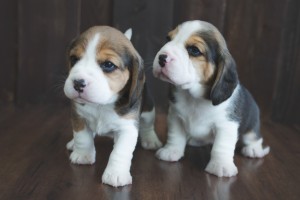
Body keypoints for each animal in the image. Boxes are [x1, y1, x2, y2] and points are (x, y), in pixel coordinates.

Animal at [63, 25, 162, 187]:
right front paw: (83, 155)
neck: (102, 104)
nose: (77, 83)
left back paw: (150, 140)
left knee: (148, 125)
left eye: (108, 65)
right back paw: (73, 144)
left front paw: (116, 174)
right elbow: (82, 137)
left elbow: (120, 152)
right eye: (74, 59)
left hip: (149, 110)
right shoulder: (78, 117)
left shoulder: (128, 128)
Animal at [152, 20, 270, 177]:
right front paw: (171, 151)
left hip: (252, 126)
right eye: (168, 39)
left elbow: (221, 146)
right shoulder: (175, 117)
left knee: (254, 138)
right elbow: (175, 135)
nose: (161, 57)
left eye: (194, 50)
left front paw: (221, 166)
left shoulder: (226, 125)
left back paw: (253, 150)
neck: (194, 98)